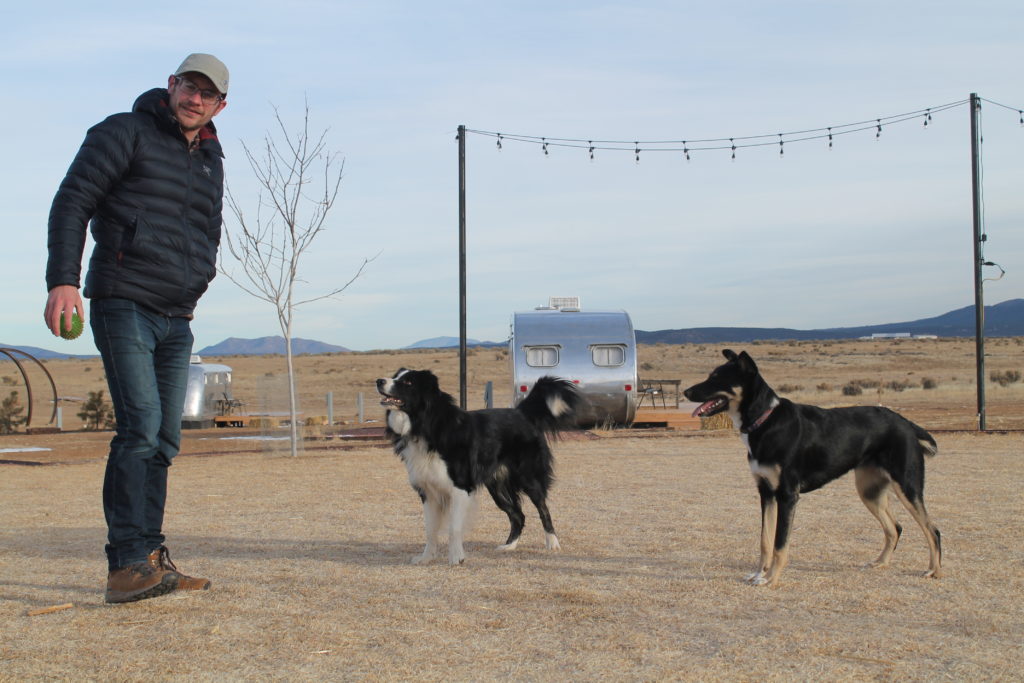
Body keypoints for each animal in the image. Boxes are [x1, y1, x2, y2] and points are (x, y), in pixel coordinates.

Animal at [376, 370, 585, 565]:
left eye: (408, 382)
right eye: (396, 376)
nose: (379, 381)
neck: (425, 424)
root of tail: (521, 412)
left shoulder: (460, 487)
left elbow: (454, 527)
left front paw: (456, 558)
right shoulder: (427, 491)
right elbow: (430, 529)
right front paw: (426, 558)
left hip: (528, 478)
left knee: (543, 509)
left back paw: (552, 543)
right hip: (497, 487)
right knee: (518, 515)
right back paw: (509, 546)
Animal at [684, 352, 937, 589]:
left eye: (717, 378)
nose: (686, 392)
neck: (765, 421)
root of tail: (907, 424)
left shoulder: (787, 496)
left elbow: (779, 544)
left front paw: (771, 579)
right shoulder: (766, 492)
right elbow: (765, 541)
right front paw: (759, 574)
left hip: (907, 487)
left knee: (932, 530)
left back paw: (933, 571)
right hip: (869, 491)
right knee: (895, 528)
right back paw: (880, 563)